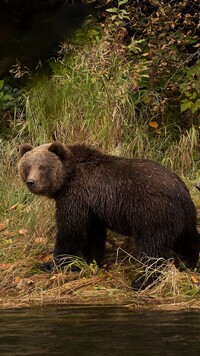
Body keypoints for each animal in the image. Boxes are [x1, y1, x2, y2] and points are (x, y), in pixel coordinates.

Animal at [18, 142, 199, 290]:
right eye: (28, 166)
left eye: (42, 166)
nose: (31, 182)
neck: (67, 178)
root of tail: (182, 190)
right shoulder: (92, 207)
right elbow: (93, 234)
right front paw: (91, 259)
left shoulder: (75, 196)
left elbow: (71, 231)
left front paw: (51, 264)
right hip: (182, 218)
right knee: (186, 240)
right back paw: (190, 263)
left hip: (151, 212)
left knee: (152, 246)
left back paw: (142, 281)